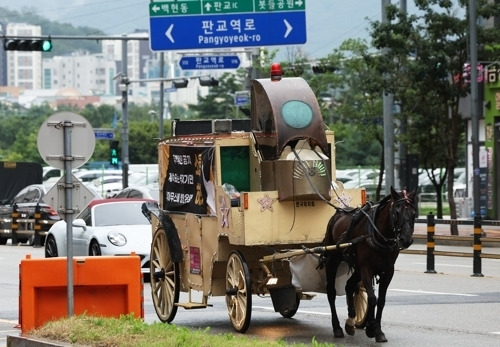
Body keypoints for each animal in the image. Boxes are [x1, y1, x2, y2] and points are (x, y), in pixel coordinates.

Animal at [322, 188, 416, 342]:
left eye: (414, 213)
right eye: (396, 212)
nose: (406, 239)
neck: (380, 236)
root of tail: (338, 213)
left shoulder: (388, 271)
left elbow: (381, 300)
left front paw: (378, 330)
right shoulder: (367, 268)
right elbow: (372, 299)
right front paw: (371, 328)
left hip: (357, 268)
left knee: (349, 286)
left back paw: (351, 320)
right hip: (333, 260)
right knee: (331, 292)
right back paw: (337, 327)